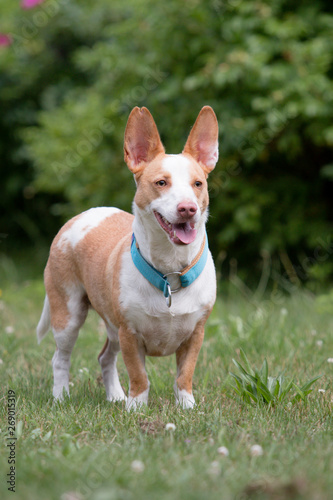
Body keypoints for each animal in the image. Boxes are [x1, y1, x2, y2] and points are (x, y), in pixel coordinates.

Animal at [37, 105, 218, 410]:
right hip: (69, 314)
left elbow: (184, 375)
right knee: (59, 357)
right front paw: (136, 408)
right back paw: (61, 396)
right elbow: (138, 374)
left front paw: (187, 407)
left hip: (110, 325)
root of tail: (81, 216)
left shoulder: (196, 333)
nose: (188, 209)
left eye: (198, 184)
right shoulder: (129, 333)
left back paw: (115, 396)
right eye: (161, 183)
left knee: (104, 357)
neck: (169, 271)